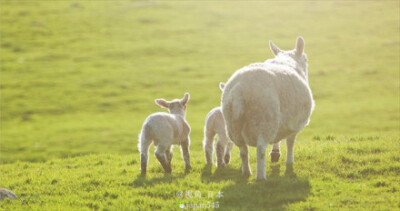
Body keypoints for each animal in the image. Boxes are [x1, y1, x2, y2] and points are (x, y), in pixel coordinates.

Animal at [220, 37, 314, 181]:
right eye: (306, 59)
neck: (287, 60)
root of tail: (239, 89)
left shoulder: (282, 120)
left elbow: (279, 138)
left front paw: (275, 153)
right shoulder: (294, 122)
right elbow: (290, 142)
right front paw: (289, 162)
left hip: (232, 124)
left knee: (243, 150)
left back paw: (247, 172)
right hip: (266, 119)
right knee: (260, 149)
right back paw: (261, 177)